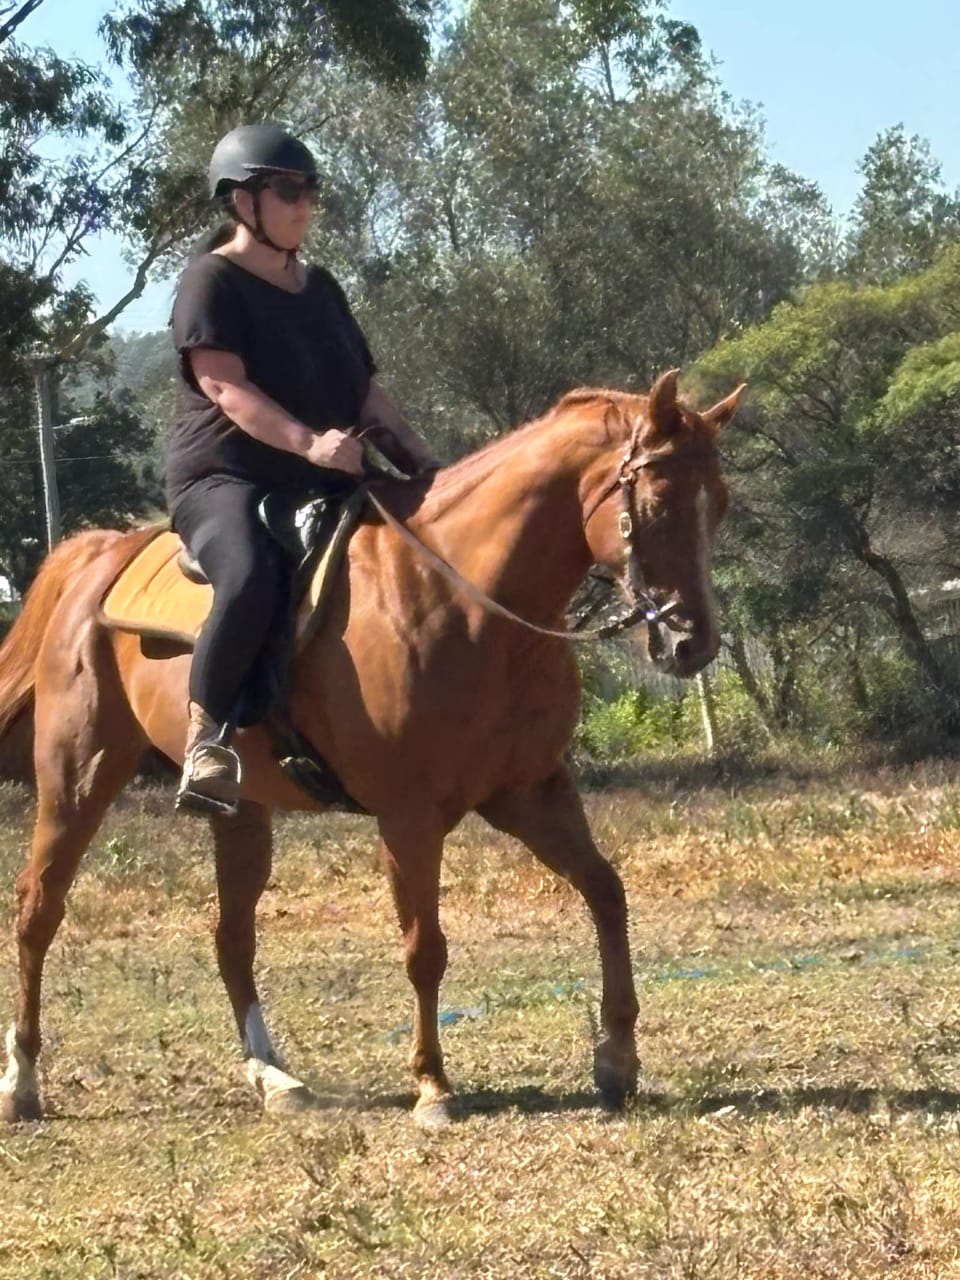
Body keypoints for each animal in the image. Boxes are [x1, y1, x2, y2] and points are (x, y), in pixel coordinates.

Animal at [0, 369, 742, 1128]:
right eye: (657, 502)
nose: (693, 644)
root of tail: (100, 557)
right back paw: (23, 1081)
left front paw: (617, 1058)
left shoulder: (530, 793)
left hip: (241, 812)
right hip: (79, 777)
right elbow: (425, 947)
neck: (462, 598)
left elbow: (606, 893)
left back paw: (275, 1078)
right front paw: (433, 1086)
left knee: (231, 935)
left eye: (718, 505)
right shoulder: (409, 817)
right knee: (37, 910)